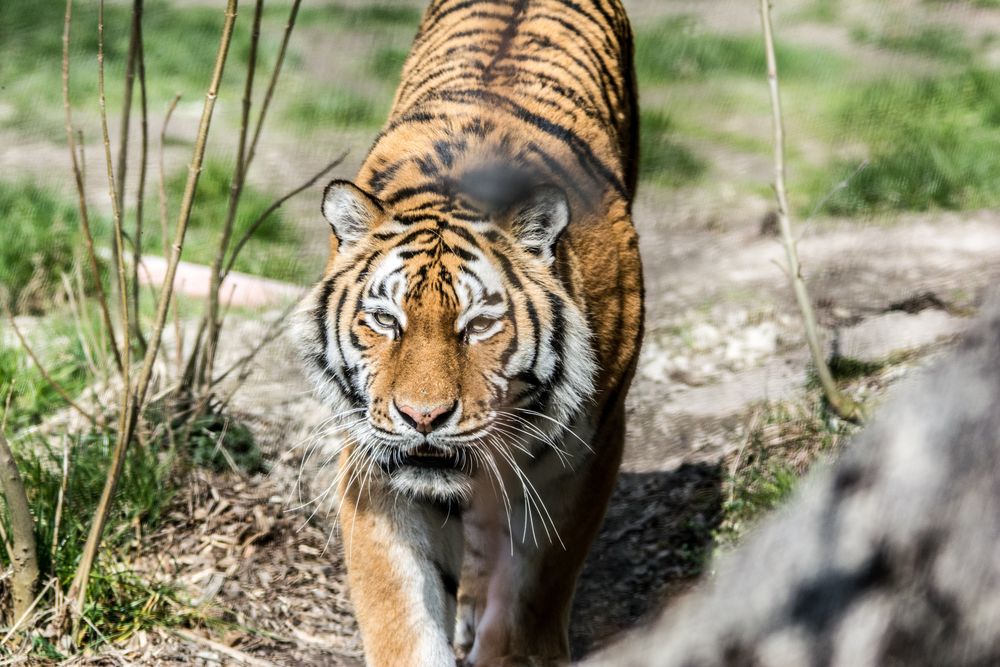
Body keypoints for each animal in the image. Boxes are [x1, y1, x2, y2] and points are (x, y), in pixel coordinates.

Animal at [292, 0, 644, 664]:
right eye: (385, 320)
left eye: (479, 325)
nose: (423, 418)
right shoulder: (373, 464)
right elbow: (400, 612)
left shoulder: (586, 451)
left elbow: (533, 594)